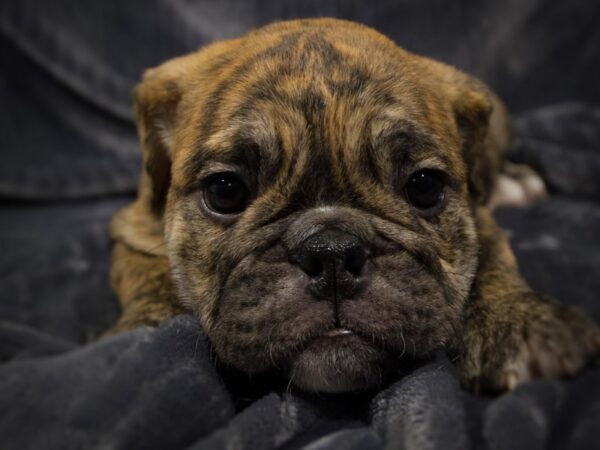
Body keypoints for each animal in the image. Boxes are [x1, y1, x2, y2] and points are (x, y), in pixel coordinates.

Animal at [109, 17, 600, 392]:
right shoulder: (133, 229)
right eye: (225, 191)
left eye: (425, 187)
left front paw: (519, 323)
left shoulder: (479, 219)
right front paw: (147, 327)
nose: (332, 252)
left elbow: (494, 262)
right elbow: (148, 275)